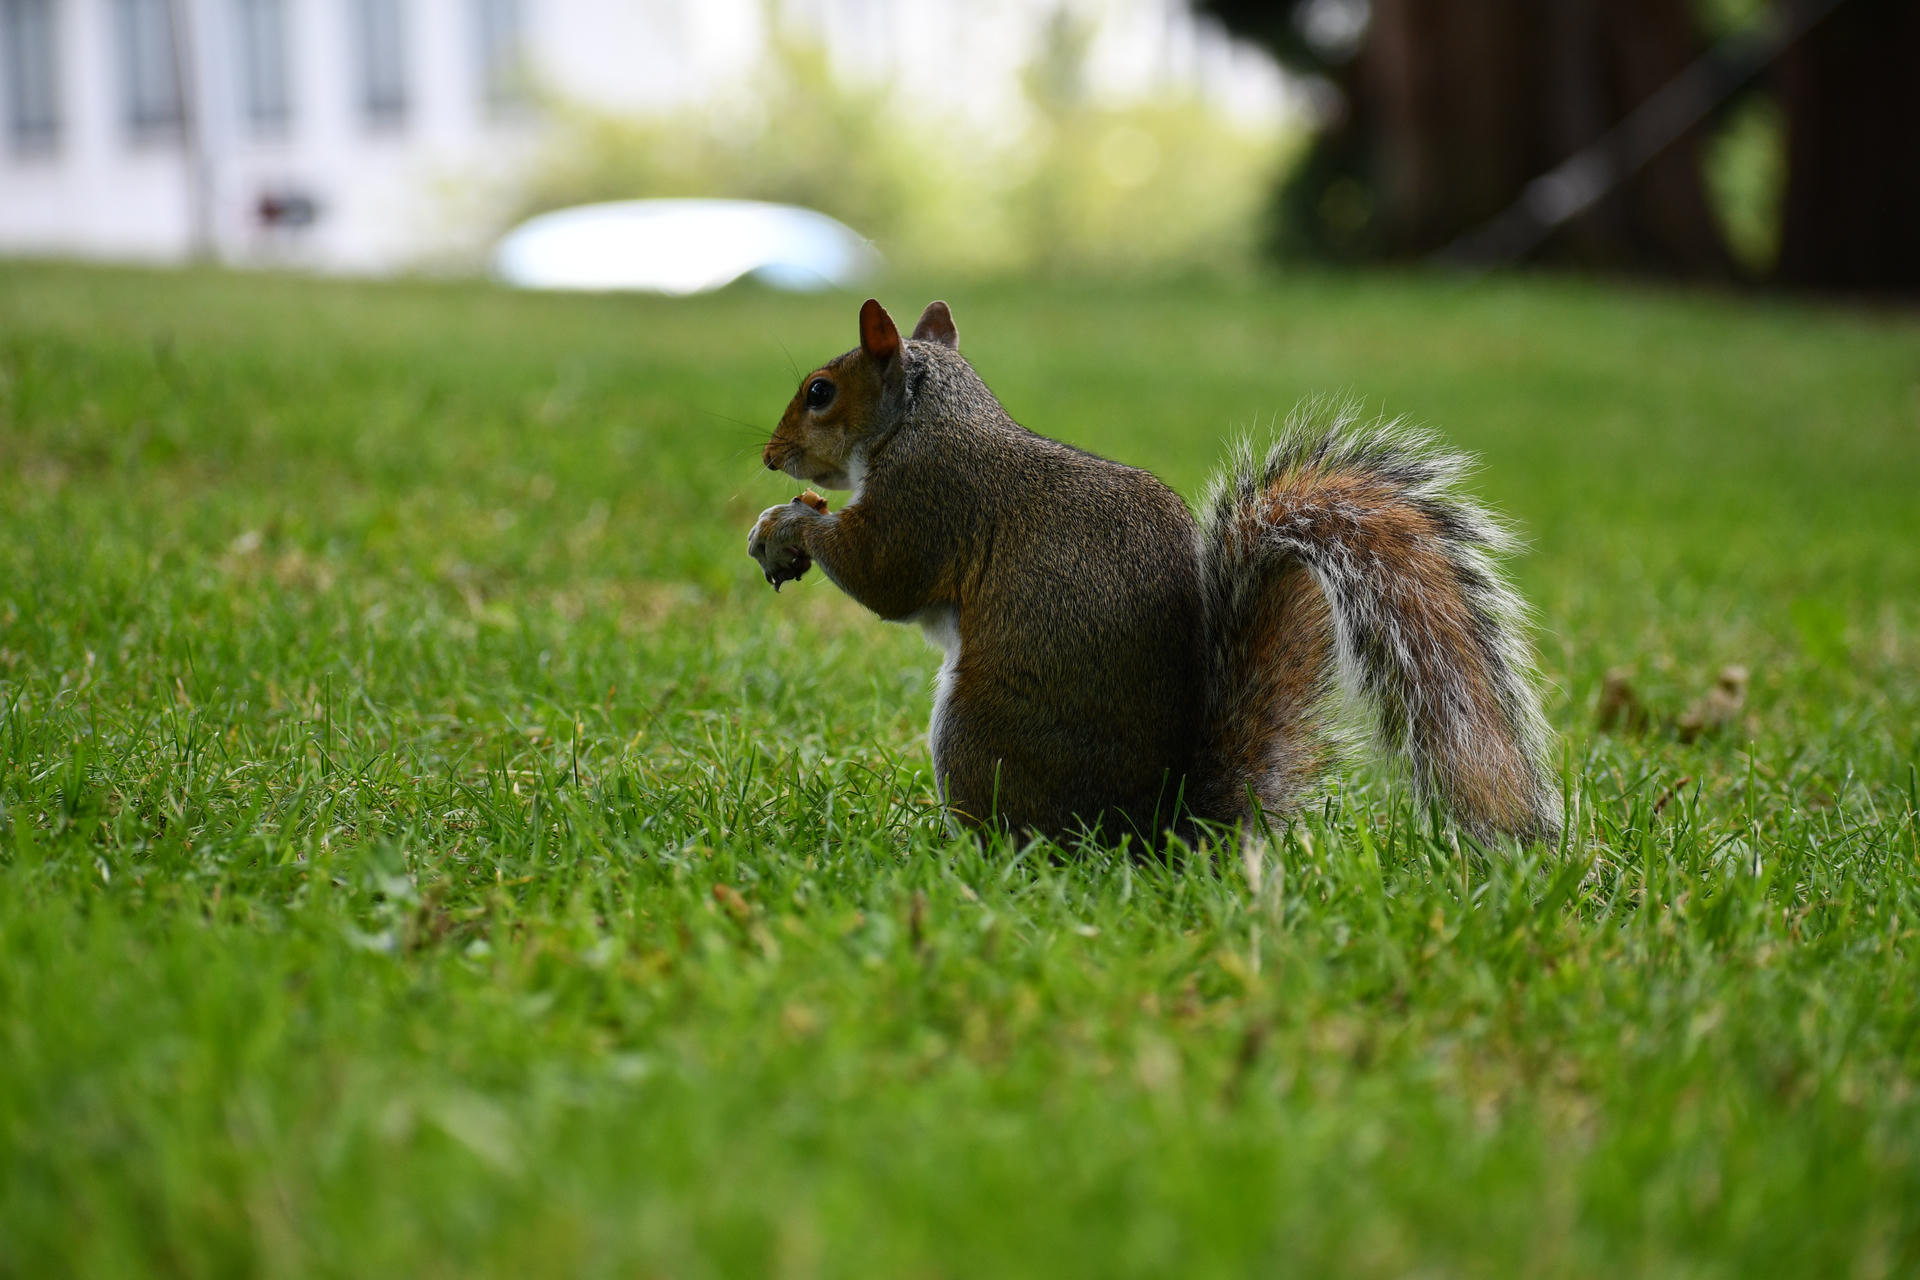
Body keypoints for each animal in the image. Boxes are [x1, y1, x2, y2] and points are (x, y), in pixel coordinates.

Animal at [748, 299, 1560, 846]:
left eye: (820, 391)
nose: (768, 455)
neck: (928, 418)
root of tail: (1153, 833)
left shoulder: (927, 501)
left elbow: (884, 578)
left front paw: (788, 525)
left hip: (977, 735)